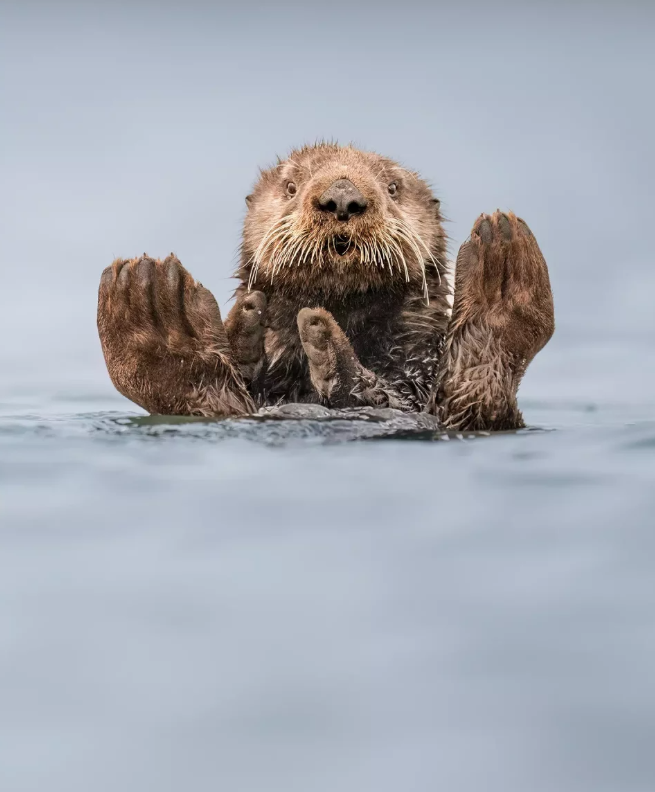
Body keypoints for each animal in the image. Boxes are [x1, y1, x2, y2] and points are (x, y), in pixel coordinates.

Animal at [97, 142, 552, 426]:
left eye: (393, 187)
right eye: (290, 186)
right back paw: (157, 310)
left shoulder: (418, 366)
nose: (342, 196)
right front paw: (247, 326)